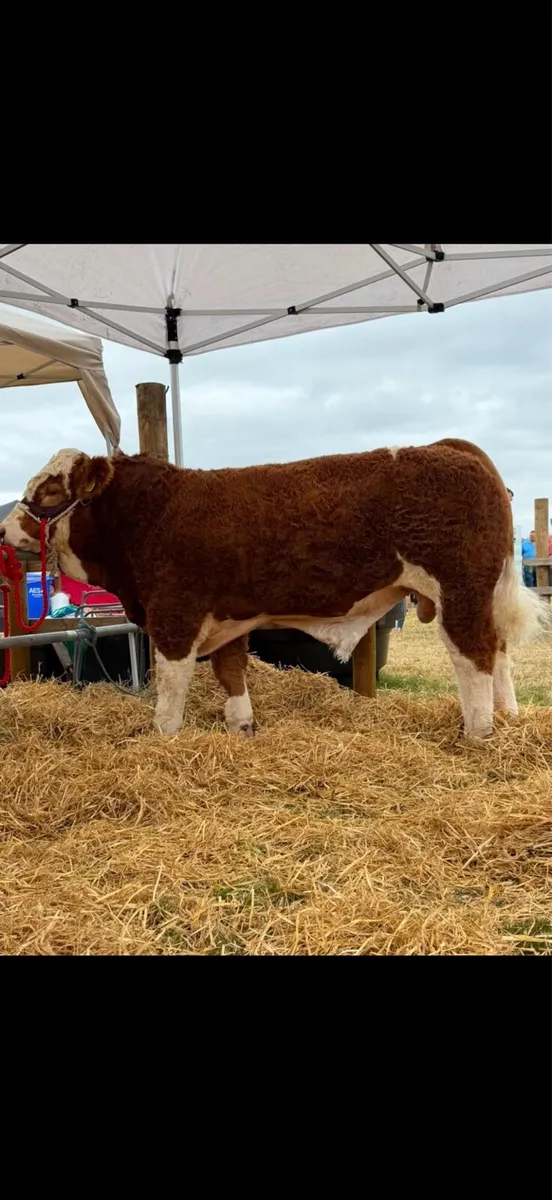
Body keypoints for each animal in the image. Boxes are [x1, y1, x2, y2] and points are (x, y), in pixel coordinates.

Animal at [0, 440, 547, 740]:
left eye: (51, 491)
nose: (4, 529)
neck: (153, 513)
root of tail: (452, 449)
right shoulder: (227, 616)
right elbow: (231, 672)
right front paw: (241, 728)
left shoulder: (174, 615)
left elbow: (171, 689)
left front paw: (163, 737)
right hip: (481, 597)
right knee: (499, 653)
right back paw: (509, 719)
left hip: (460, 591)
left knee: (474, 657)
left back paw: (479, 733)